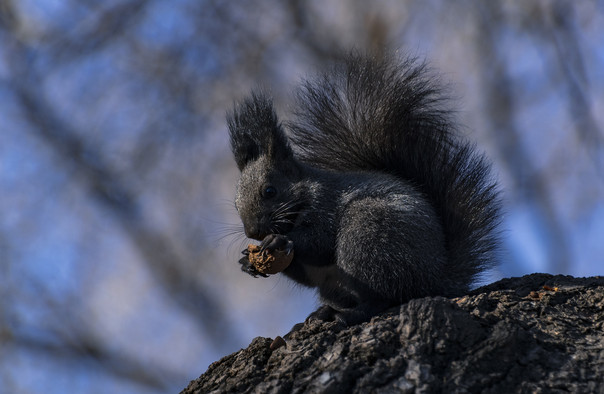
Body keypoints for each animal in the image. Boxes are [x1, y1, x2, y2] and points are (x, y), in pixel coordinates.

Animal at [226, 53, 500, 328]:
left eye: (269, 191)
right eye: (235, 205)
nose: (253, 232)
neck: (305, 194)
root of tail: (436, 278)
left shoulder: (326, 204)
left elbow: (319, 243)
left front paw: (279, 240)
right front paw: (246, 262)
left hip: (366, 236)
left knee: (384, 298)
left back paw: (348, 314)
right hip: (336, 282)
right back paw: (323, 312)